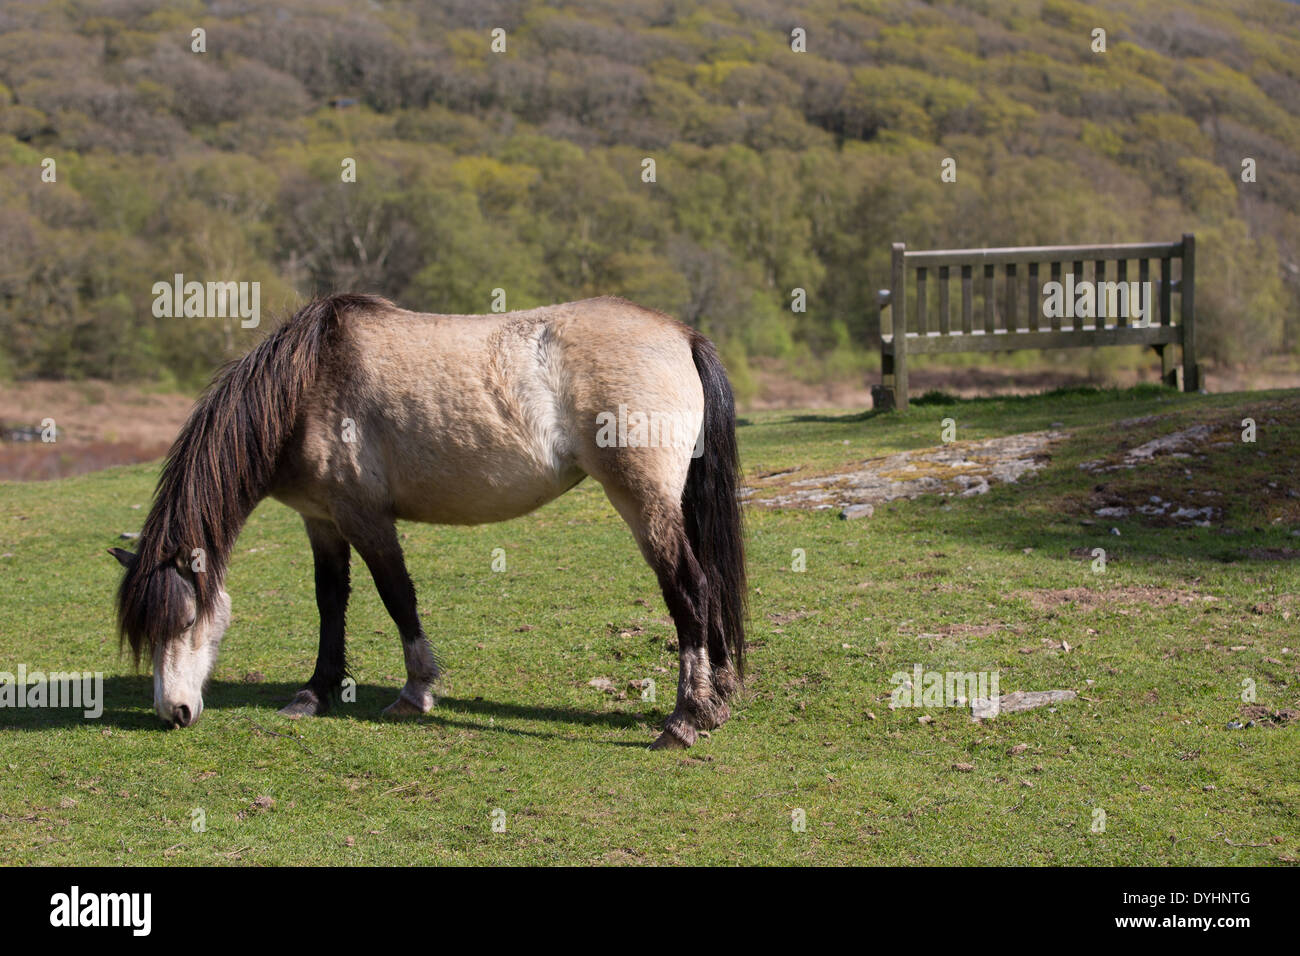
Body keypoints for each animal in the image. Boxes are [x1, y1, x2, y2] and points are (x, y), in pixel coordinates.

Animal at [111, 294, 746, 750]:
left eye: (187, 619)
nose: (174, 713)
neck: (307, 385)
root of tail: (681, 335)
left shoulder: (365, 518)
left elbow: (397, 597)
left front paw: (415, 691)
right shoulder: (322, 521)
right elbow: (329, 601)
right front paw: (315, 693)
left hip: (642, 502)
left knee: (690, 588)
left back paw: (684, 721)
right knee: (710, 585)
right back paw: (717, 697)